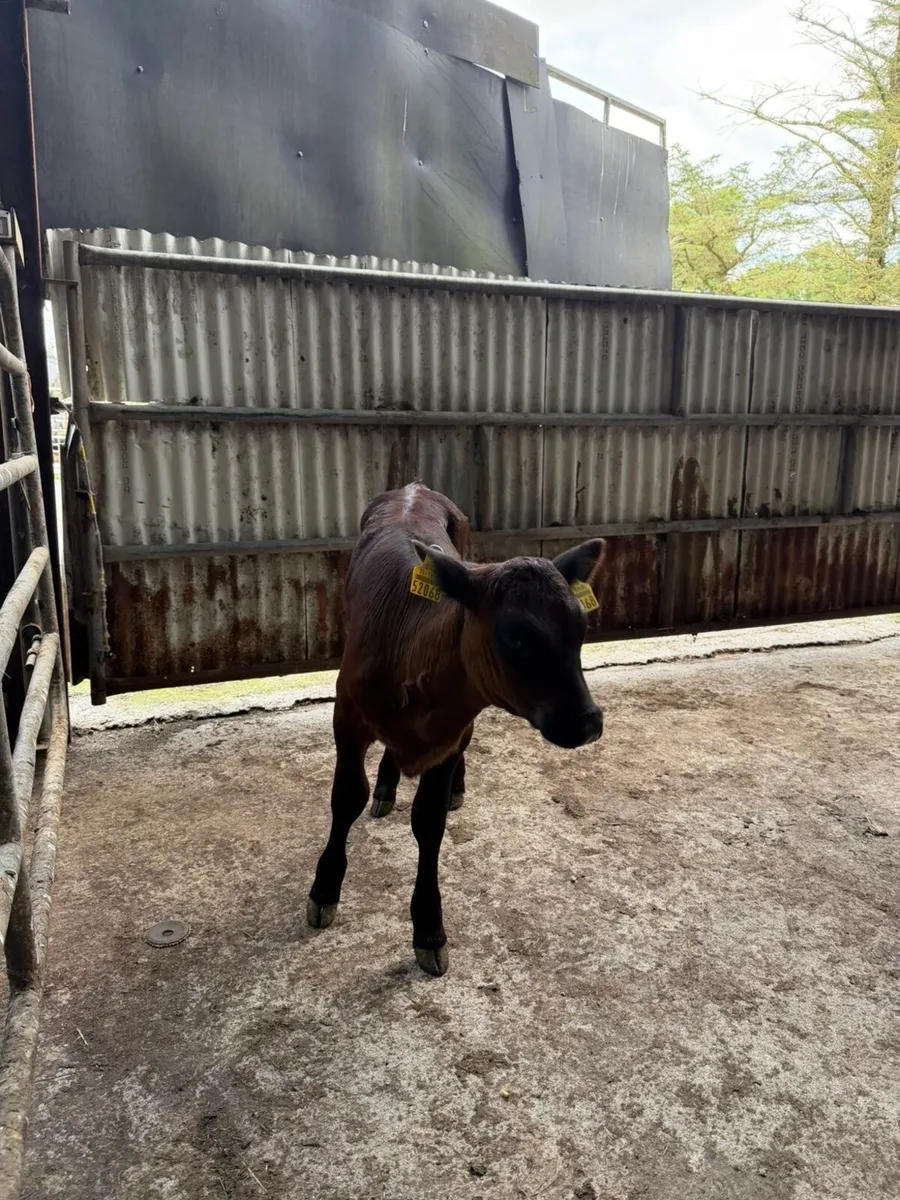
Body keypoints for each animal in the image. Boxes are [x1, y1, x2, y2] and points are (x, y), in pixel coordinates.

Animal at [307, 482, 605, 976]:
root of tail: (414, 487)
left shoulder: (452, 734)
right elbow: (346, 798)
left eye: (582, 627)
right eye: (515, 637)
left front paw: (429, 928)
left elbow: (429, 822)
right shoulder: (345, 716)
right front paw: (324, 889)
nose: (588, 722)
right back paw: (386, 787)